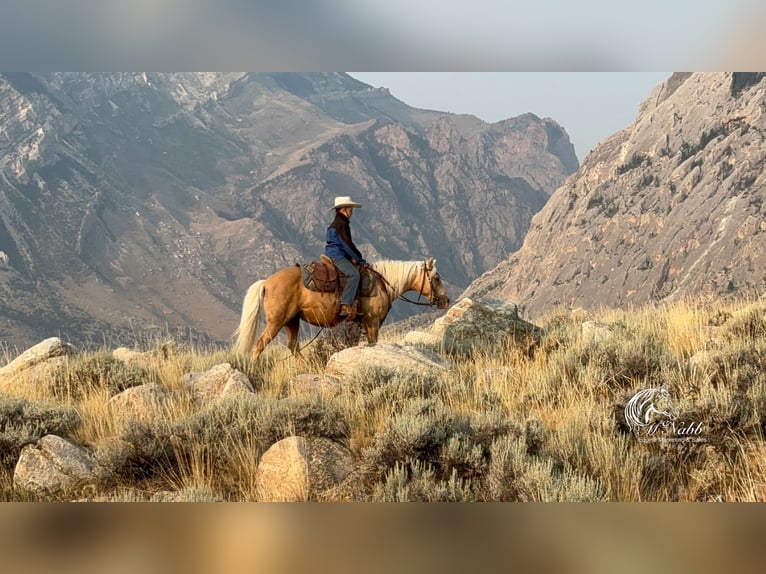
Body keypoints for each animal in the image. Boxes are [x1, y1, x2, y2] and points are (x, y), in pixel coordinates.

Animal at [234, 260, 450, 362]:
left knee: (294, 347)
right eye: (437, 277)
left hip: (291, 321)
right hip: (276, 322)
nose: (445, 300)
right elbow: (372, 344)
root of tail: (267, 282)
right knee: (260, 345)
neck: (382, 283)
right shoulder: (372, 323)